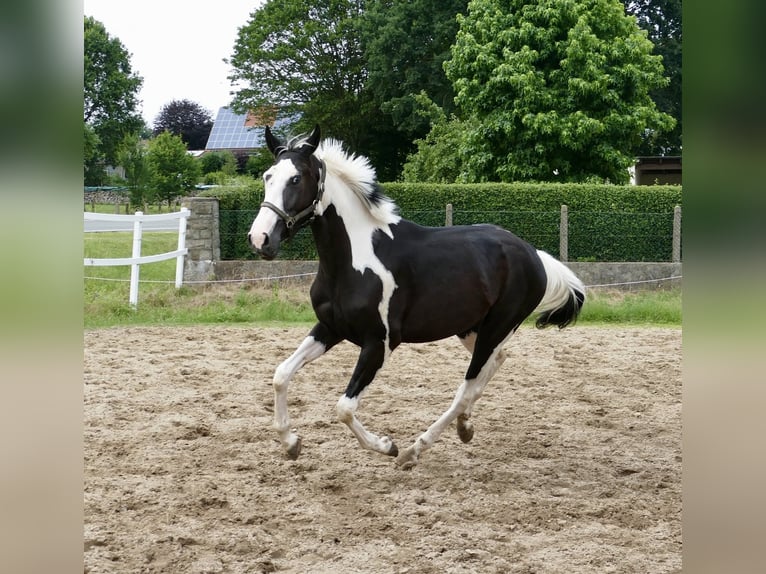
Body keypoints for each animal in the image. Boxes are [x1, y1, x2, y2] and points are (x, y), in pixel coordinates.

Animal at [247, 125, 586, 469]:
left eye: (296, 178)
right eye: (267, 176)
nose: (260, 239)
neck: (354, 260)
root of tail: (534, 254)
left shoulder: (379, 343)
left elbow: (344, 407)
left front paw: (387, 446)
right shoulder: (330, 328)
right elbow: (280, 375)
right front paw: (291, 443)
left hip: (497, 327)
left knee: (467, 387)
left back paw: (414, 450)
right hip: (470, 329)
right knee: (496, 362)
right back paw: (465, 426)